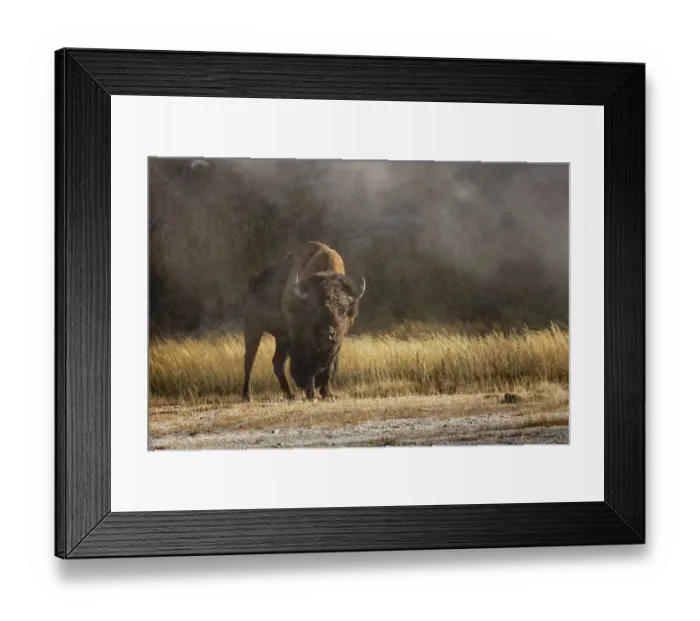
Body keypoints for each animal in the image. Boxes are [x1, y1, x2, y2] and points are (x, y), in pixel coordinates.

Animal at [241, 241, 366, 402]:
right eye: (312, 307)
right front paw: (311, 393)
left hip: (280, 338)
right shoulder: (301, 341)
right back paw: (247, 395)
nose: (327, 334)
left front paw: (328, 393)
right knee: (249, 361)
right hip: (253, 329)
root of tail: (254, 281)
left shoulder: (337, 342)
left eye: (343, 310)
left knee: (277, 362)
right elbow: (307, 367)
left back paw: (290, 394)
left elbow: (330, 367)